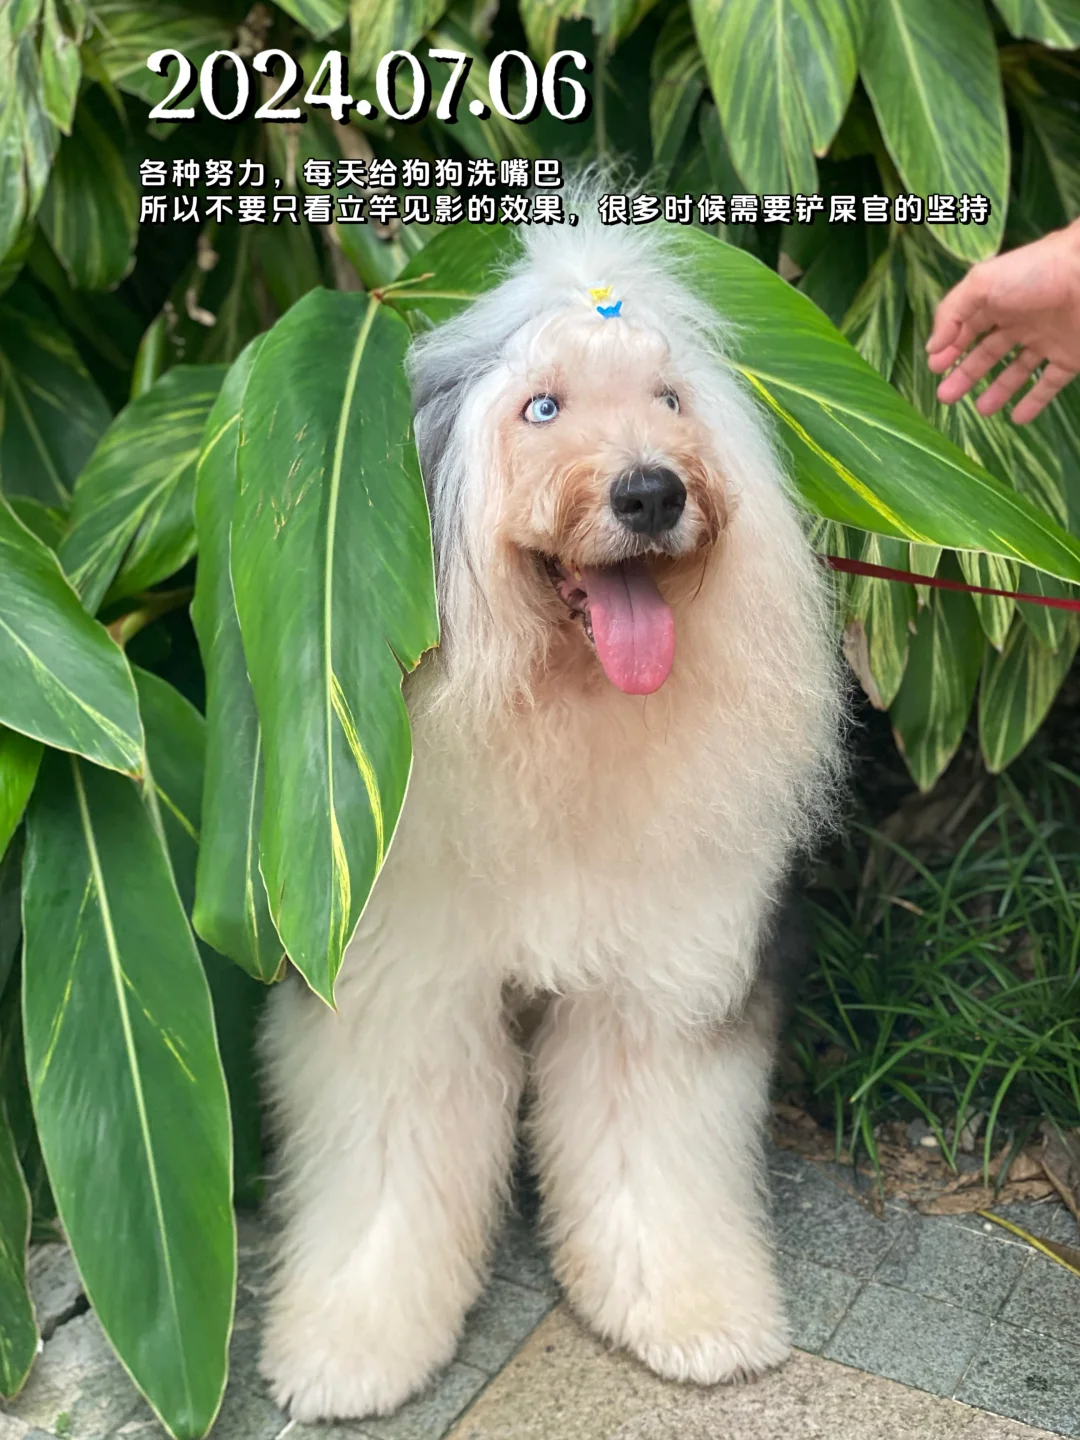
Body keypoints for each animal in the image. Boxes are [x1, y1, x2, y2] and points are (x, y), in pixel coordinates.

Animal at [258, 192, 846, 1422]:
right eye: (542, 407)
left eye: (669, 400)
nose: (652, 490)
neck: (559, 716)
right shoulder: (394, 986)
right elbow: (388, 1173)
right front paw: (351, 1346)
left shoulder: (656, 985)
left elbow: (651, 1158)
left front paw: (690, 1314)